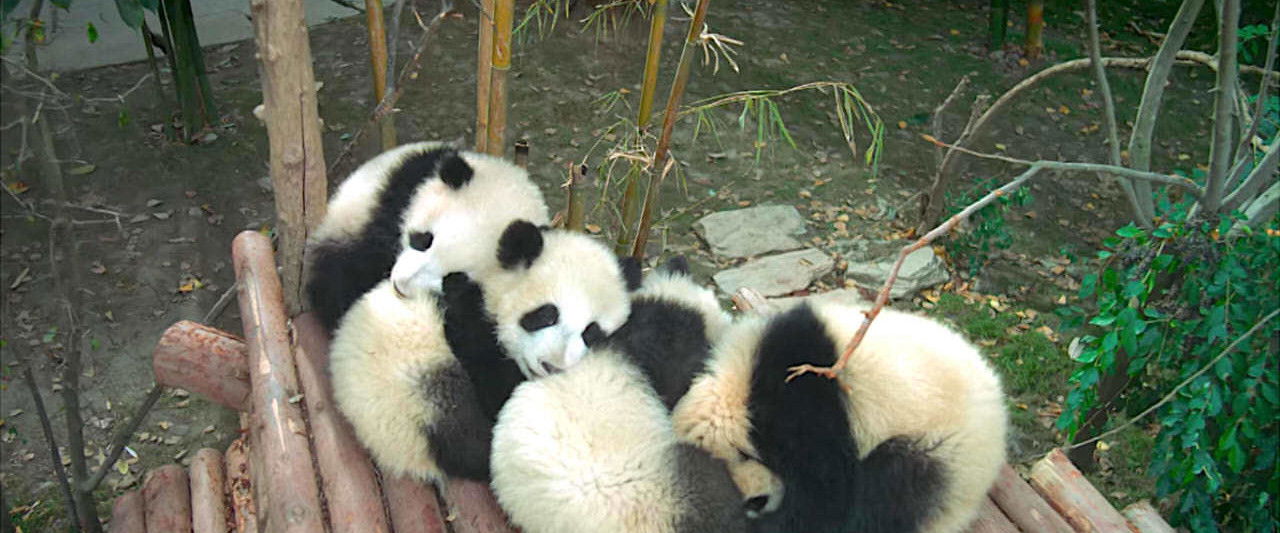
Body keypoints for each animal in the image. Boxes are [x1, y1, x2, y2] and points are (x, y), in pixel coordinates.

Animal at [671, 302, 1008, 533]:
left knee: (890, 490)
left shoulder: (804, 407)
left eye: (755, 501)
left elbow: (826, 492)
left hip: (940, 447)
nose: (761, 506)